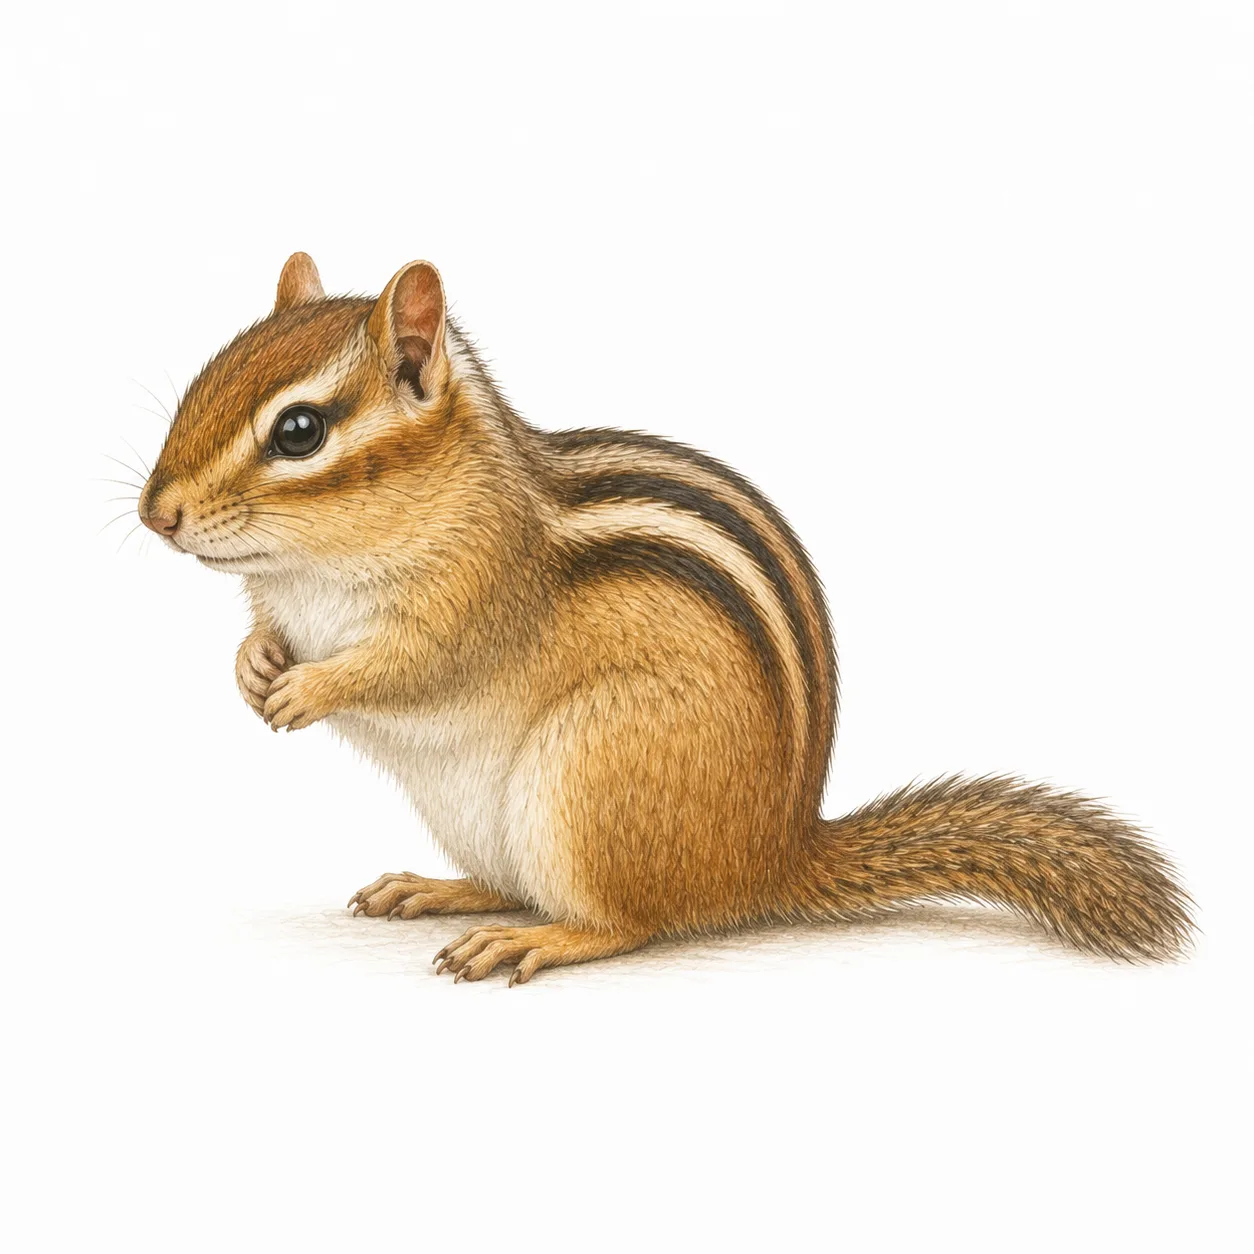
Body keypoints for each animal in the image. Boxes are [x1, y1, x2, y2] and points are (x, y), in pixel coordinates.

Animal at [138, 252, 1194, 984]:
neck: (312, 571)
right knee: (511, 880)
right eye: (201, 379)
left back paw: (534, 940)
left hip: (589, 773)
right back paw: (436, 889)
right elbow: (265, 638)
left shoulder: (476, 603)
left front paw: (308, 686)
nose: (156, 514)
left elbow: (408, 666)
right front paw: (254, 664)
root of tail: (770, 857)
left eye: (299, 431)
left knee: (627, 923)